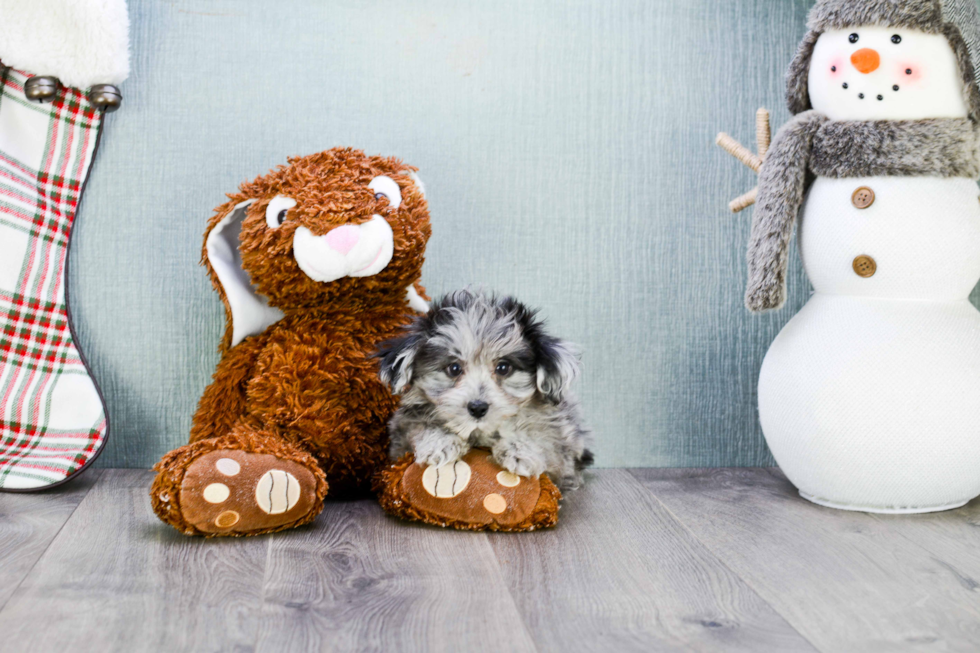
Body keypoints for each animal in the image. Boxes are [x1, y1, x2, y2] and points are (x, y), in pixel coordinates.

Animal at [378, 290, 592, 488]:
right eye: (454, 368)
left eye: (503, 368)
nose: (478, 408)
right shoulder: (399, 437)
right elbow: (417, 426)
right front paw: (440, 442)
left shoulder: (563, 454)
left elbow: (545, 438)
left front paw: (520, 451)